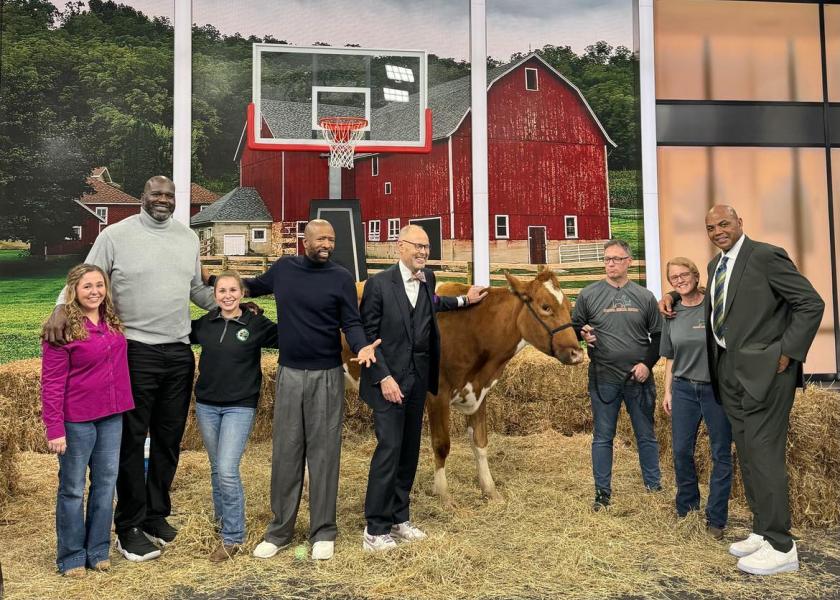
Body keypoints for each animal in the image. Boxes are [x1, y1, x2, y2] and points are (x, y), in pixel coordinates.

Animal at [342, 272, 584, 506]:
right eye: (545, 306)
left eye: (569, 308)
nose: (577, 353)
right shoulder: (437, 395)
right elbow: (441, 444)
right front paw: (443, 495)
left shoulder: (479, 392)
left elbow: (480, 442)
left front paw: (490, 489)